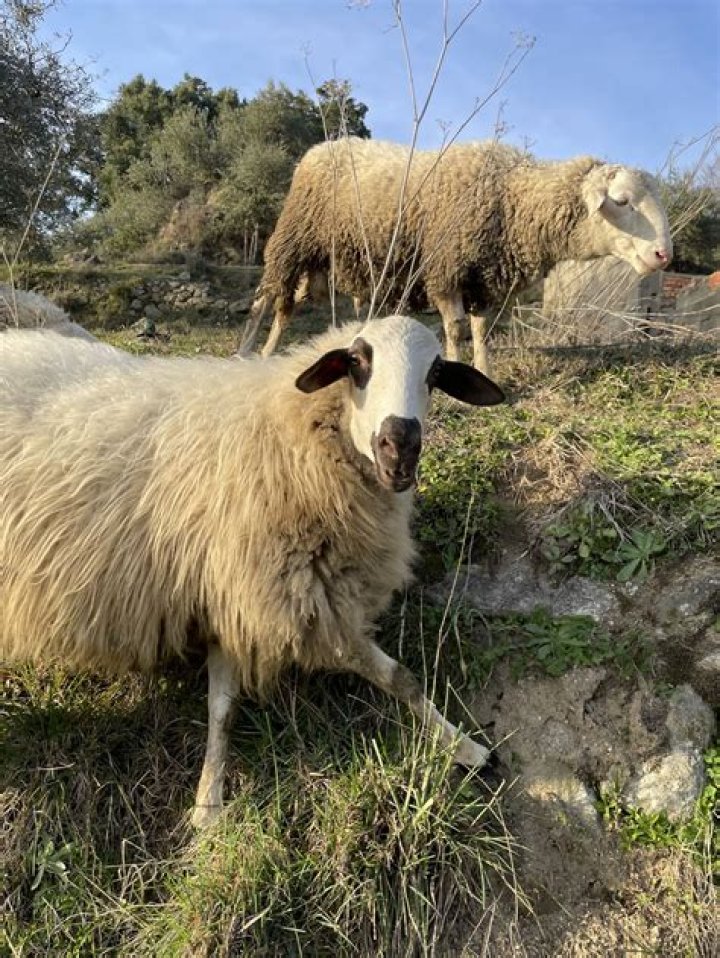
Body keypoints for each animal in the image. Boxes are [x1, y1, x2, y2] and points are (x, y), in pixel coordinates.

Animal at [0, 315, 505, 827]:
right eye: (357, 362)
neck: (290, 438)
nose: (399, 446)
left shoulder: (235, 593)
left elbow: (228, 706)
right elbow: (388, 678)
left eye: (436, 373)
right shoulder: (294, 602)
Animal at [241, 138, 673, 374]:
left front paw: (484, 370)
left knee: (288, 305)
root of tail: (318, 148)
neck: (511, 199)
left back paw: (268, 351)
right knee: (265, 299)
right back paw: (247, 350)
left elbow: (481, 330)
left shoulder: (486, 279)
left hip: (316, 262)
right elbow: (455, 328)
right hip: (292, 239)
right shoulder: (447, 269)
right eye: (621, 201)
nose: (663, 255)